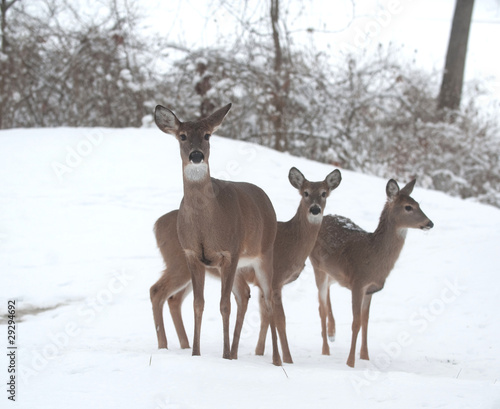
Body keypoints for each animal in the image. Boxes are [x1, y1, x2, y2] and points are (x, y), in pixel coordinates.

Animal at [154, 103, 284, 364]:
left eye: (207, 135)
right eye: (182, 136)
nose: (196, 156)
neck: (206, 224)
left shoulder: (229, 252)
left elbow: (224, 305)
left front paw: (223, 357)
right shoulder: (192, 254)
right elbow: (198, 303)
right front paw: (196, 353)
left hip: (264, 254)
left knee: (268, 300)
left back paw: (275, 359)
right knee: (244, 295)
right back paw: (234, 353)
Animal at [308, 178, 434, 366]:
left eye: (418, 204)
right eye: (408, 207)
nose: (429, 223)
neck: (373, 258)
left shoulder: (370, 289)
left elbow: (366, 322)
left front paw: (365, 357)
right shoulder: (358, 283)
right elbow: (356, 322)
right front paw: (350, 362)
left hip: (333, 273)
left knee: (325, 297)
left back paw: (332, 333)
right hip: (317, 266)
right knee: (320, 307)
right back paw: (326, 349)